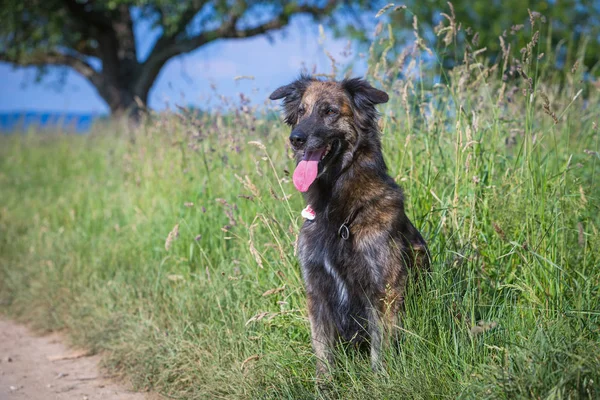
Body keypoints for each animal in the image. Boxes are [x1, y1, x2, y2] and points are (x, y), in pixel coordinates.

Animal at [270, 75, 428, 378]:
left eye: (330, 111)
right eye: (301, 112)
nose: (296, 139)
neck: (338, 212)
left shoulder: (383, 290)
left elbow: (380, 350)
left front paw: (381, 381)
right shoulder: (317, 289)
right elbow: (323, 352)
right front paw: (325, 384)